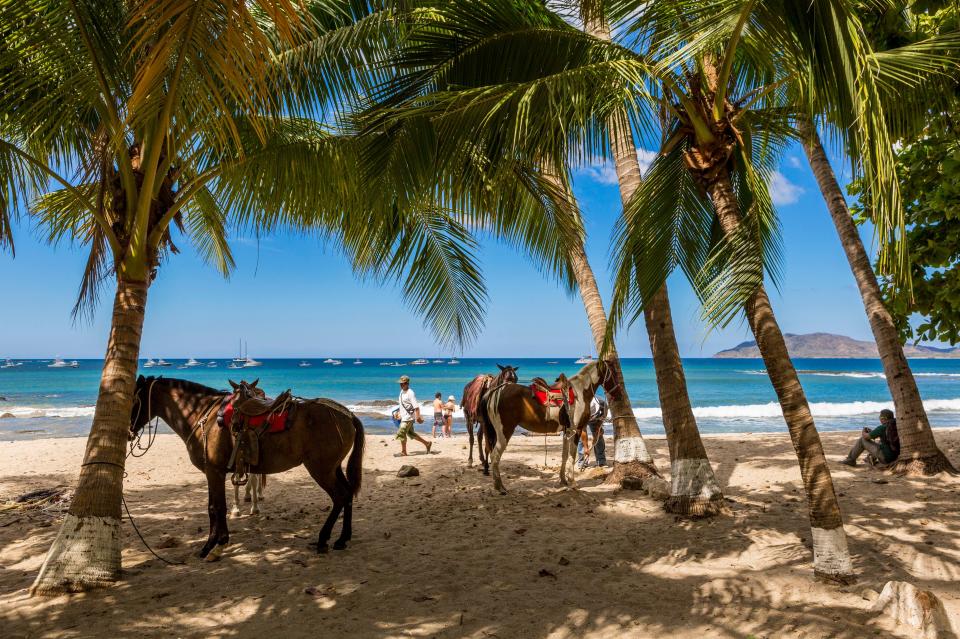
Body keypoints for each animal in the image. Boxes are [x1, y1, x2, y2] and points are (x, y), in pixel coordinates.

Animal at [129, 376, 366, 560]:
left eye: (134, 398)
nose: (129, 431)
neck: (204, 415)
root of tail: (347, 415)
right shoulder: (214, 473)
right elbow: (216, 506)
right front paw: (220, 542)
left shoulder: (214, 472)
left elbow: (216, 507)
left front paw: (213, 546)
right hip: (333, 468)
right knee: (347, 494)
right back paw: (342, 539)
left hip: (321, 469)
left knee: (340, 497)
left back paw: (324, 539)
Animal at [480, 362, 608, 492]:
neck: (580, 392)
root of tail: (495, 391)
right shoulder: (576, 430)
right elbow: (572, 455)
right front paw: (572, 482)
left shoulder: (566, 431)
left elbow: (564, 455)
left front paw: (563, 480)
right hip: (504, 431)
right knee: (495, 456)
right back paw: (499, 487)